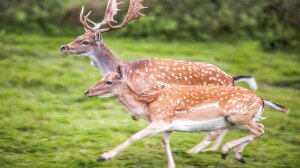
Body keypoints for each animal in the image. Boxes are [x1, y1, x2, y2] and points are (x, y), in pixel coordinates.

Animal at [60, 0, 258, 152]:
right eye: (78, 35)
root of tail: (231, 78)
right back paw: (215, 149)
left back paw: (199, 150)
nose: (64, 47)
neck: (128, 72)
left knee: (223, 127)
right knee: (226, 126)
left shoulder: (151, 92)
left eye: (85, 41)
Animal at [84, 66, 288, 167]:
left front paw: (103, 157)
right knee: (259, 129)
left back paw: (226, 151)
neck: (148, 106)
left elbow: (133, 137)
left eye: (109, 81)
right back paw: (237, 155)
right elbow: (165, 140)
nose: (87, 91)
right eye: (101, 77)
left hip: (239, 116)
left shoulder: (161, 120)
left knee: (258, 130)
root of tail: (262, 100)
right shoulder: (169, 126)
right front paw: (171, 165)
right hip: (235, 121)